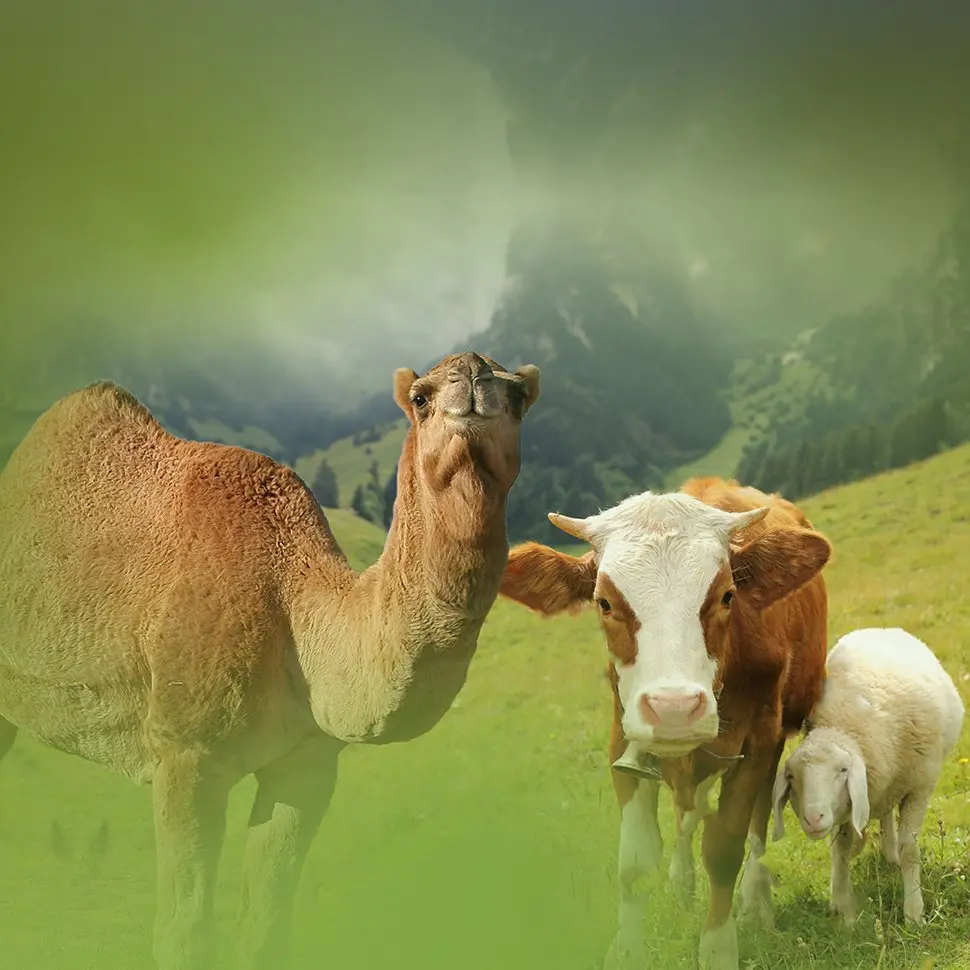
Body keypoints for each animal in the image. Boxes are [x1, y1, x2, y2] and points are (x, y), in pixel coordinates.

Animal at [0, 350, 541, 970]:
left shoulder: (307, 764)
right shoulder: (185, 753)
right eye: (420, 397)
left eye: (519, 395)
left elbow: (266, 923)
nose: (473, 376)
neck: (295, 606)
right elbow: (185, 932)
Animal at [499, 477, 831, 970]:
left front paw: (718, 946)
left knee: (755, 822)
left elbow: (725, 847)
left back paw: (755, 901)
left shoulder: (758, 741)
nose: (675, 708)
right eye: (604, 603)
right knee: (686, 812)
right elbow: (636, 860)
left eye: (727, 595)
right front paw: (626, 948)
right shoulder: (624, 738)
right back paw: (682, 880)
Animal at [771, 626, 965, 925]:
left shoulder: (918, 789)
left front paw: (913, 912)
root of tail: (883, 629)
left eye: (843, 770)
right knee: (884, 815)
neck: (846, 723)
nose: (813, 818)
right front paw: (842, 906)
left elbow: (910, 851)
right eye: (791, 776)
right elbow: (840, 849)